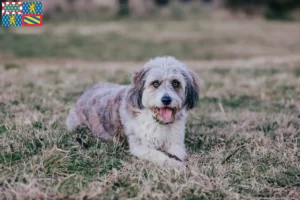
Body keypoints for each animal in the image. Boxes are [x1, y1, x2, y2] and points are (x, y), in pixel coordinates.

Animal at [65, 56, 199, 169]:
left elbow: (178, 153)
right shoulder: (140, 146)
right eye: (155, 83)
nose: (166, 100)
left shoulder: (175, 142)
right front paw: (174, 164)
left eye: (176, 83)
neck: (157, 121)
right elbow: (158, 155)